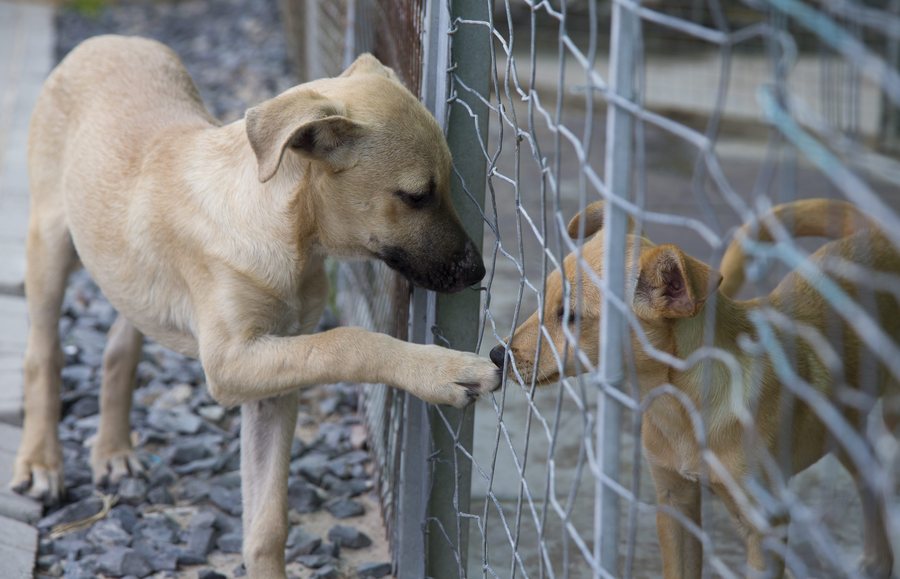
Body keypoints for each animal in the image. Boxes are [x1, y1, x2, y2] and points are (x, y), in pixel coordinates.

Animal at [12, 36, 500, 579]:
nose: (477, 272)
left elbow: (267, 527)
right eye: (416, 196)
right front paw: (443, 370)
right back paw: (40, 462)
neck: (285, 229)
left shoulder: (273, 382)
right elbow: (346, 340)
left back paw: (113, 450)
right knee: (43, 353)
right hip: (49, 241)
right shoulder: (232, 362)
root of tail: (107, 39)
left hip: (128, 272)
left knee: (121, 346)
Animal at [492, 201, 900, 579]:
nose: (497, 354)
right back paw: (879, 559)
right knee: (868, 475)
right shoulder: (675, 503)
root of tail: (874, 235)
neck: (683, 405)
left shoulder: (765, 526)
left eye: (570, 316)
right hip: (841, 430)